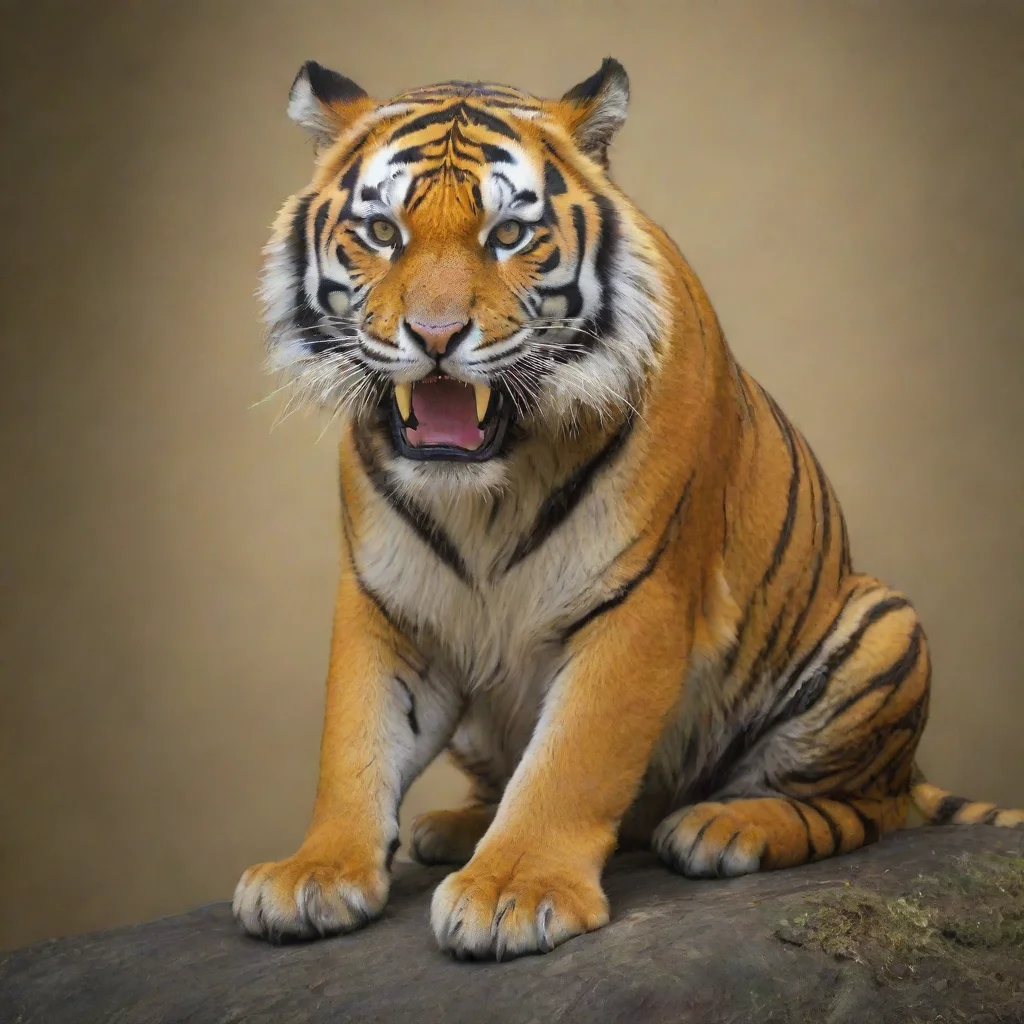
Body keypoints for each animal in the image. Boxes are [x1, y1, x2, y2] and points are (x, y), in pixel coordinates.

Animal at [231, 57, 1023, 961]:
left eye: (509, 235)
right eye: (382, 232)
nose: (434, 336)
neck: (485, 491)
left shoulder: (641, 600)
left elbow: (573, 758)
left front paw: (514, 891)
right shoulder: (384, 602)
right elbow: (352, 743)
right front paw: (312, 874)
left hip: (883, 628)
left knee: (862, 811)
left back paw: (727, 826)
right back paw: (457, 828)